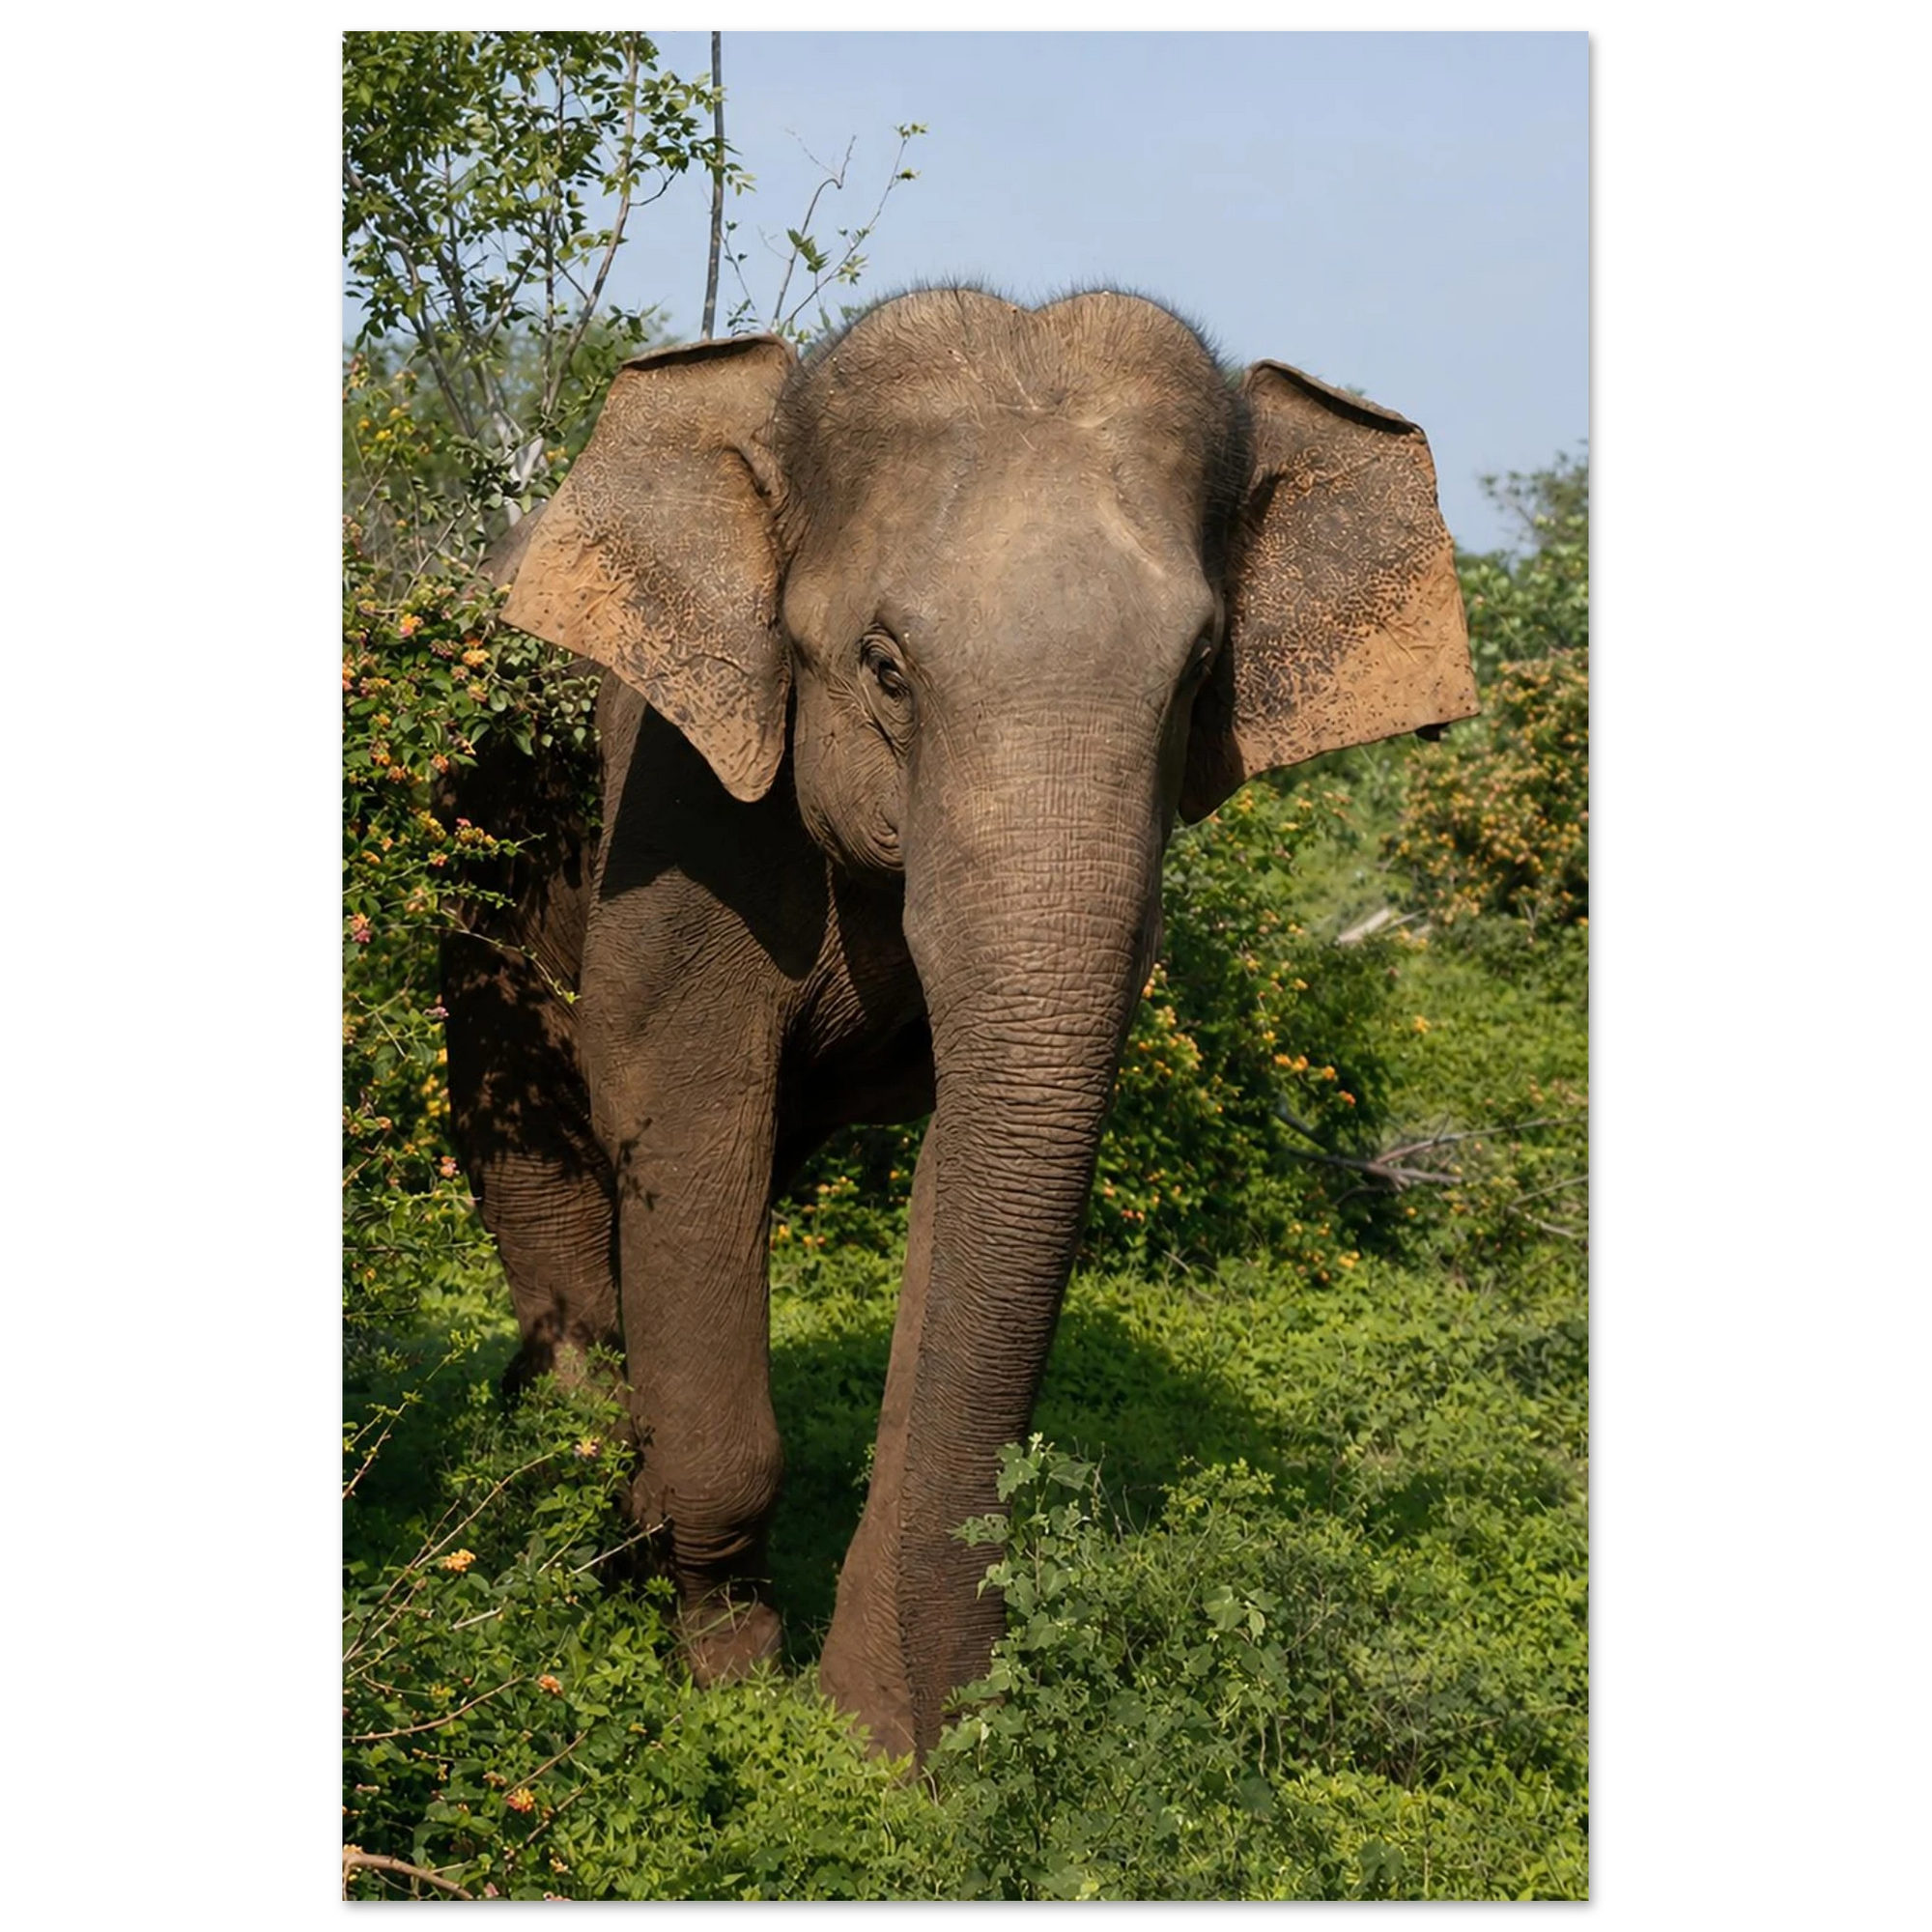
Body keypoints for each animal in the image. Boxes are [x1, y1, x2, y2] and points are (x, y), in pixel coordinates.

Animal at [439, 287, 1477, 1764]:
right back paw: (564, 1444)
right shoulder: (677, 798)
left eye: (1198, 671)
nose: (942, 1746)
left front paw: (865, 1735)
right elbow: (671, 1094)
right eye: (884, 666)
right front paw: (725, 1672)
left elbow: (970, 1160)